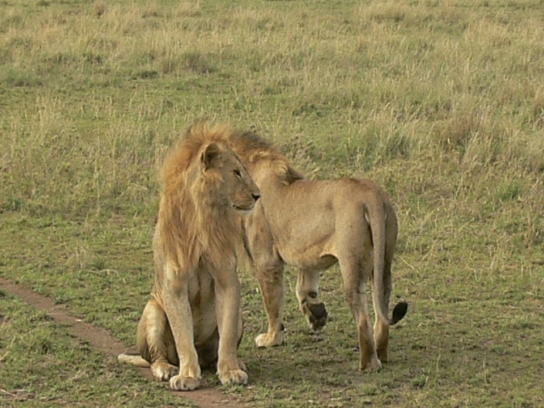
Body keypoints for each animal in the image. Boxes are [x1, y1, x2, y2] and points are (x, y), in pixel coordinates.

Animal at [118, 123, 261, 391]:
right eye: (236, 172)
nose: (258, 195)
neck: (202, 216)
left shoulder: (227, 279)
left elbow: (226, 337)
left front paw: (230, 371)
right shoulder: (174, 284)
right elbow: (183, 336)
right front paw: (186, 376)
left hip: (239, 316)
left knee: (217, 350)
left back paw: (236, 363)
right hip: (153, 309)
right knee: (156, 357)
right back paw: (166, 369)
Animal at [225, 129, 408, 372]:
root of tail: (372, 196)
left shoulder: (266, 259)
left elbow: (272, 302)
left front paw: (271, 338)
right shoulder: (309, 253)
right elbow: (305, 288)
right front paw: (317, 315)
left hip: (352, 262)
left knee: (361, 314)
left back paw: (368, 363)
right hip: (384, 258)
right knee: (382, 300)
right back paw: (382, 352)